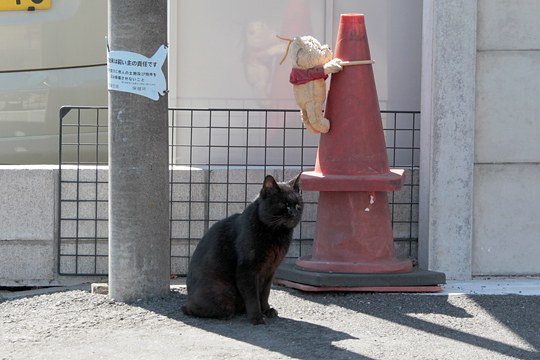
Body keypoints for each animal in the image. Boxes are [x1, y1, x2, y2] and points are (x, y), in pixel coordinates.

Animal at [182, 173, 304, 324]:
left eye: (298, 205)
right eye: (284, 204)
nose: (294, 213)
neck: (276, 234)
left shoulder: (270, 270)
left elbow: (265, 293)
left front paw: (266, 310)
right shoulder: (247, 270)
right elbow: (253, 296)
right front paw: (257, 317)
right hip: (224, 290)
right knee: (190, 309)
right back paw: (227, 314)